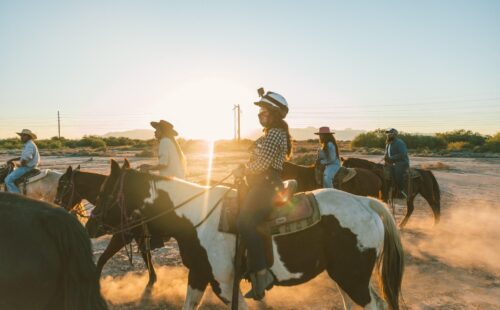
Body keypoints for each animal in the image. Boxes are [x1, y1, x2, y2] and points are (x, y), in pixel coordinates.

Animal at [88, 160, 404, 310]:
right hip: (345, 276)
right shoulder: (199, 275)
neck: (195, 217)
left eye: (103, 193)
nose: (89, 227)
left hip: (352, 277)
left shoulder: (224, 283)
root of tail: (366, 202)